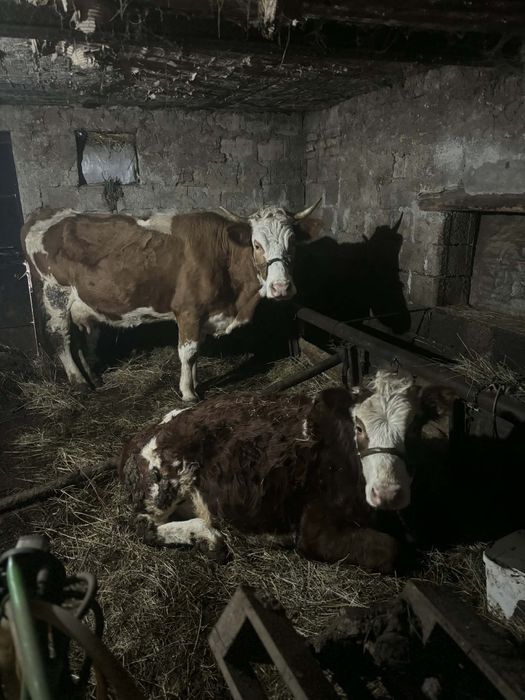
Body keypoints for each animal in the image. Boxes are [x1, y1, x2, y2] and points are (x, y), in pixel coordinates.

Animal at [21, 201, 321, 402]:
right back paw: (79, 382)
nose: (281, 287)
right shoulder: (189, 310)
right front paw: (188, 393)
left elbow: (196, 352)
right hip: (55, 294)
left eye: (293, 243)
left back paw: (93, 376)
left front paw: (196, 383)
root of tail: (43, 212)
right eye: (256, 245)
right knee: (60, 337)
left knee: (83, 335)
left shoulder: (204, 316)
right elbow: (187, 352)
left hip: (80, 303)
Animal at [119, 371, 450, 573]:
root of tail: (143, 433)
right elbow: (391, 550)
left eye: (415, 428)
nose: (388, 493)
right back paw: (209, 539)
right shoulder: (313, 529)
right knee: (143, 527)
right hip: (167, 479)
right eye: (359, 427)